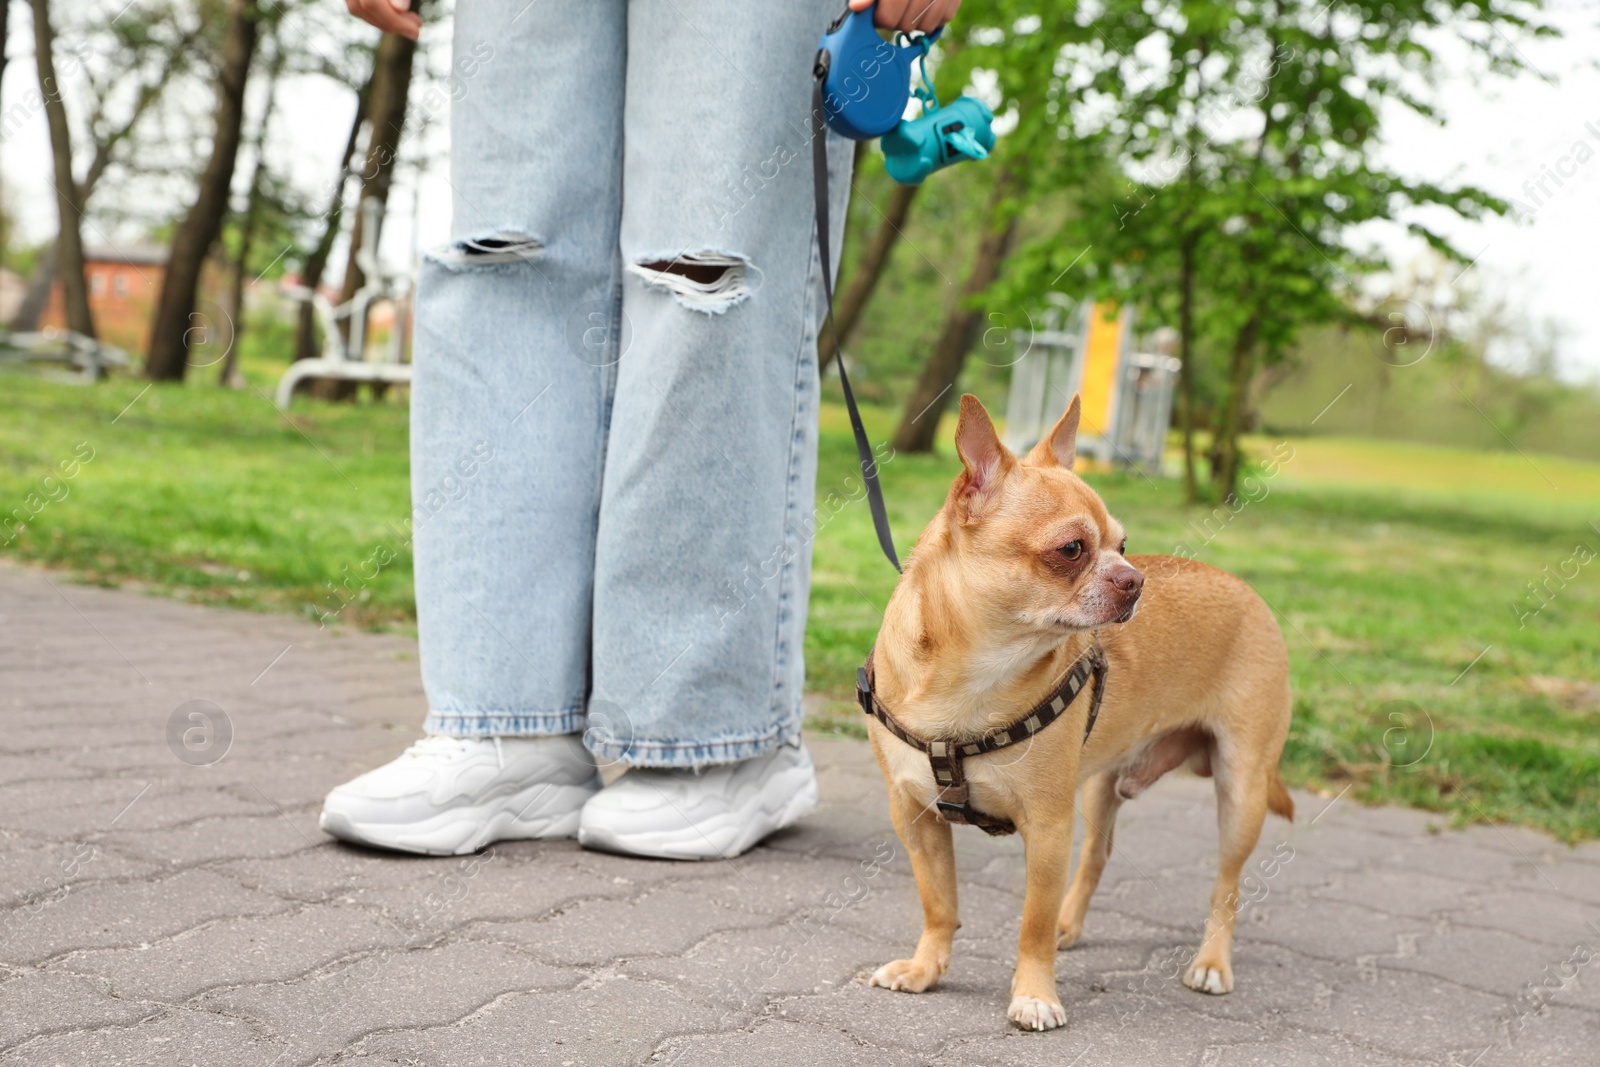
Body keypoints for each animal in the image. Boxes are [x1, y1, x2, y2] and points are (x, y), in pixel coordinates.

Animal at [864, 396, 1286, 1030]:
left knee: (1227, 886)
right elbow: (938, 903)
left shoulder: (1047, 828)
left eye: (1124, 545)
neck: (973, 679)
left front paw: (1035, 994)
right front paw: (926, 969)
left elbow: (1030, 926)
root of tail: (1250, 592)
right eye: (1071, 549)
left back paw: (1212, 962)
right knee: (1097, 855)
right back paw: (1072, 923)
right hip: (1102, 784)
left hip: (1241, 792)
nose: (1136, 580)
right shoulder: (916, 818)